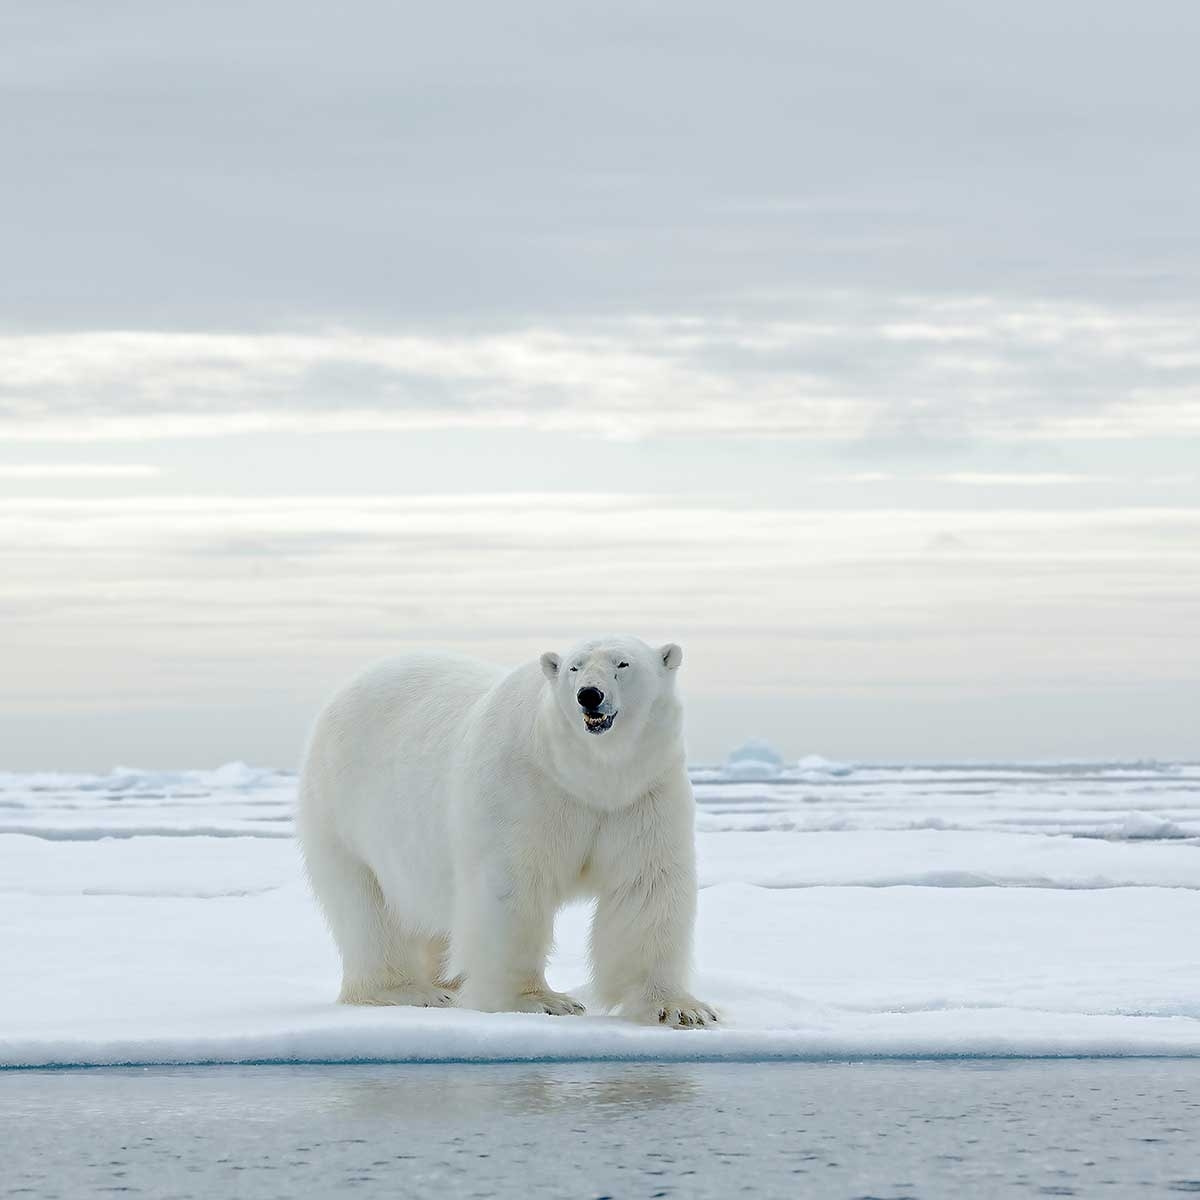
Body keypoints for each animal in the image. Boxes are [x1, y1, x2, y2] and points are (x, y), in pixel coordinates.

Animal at [296, 633, 715, 1027]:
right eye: (574, 668)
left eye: (622, 663)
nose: (589, 696)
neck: (587, 776)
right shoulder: (525, 789)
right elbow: (512, 888)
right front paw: (539, 1001)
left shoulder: (642, 795)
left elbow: (645, 885)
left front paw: (680, 1009)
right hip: (345, 814)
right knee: (366, 908)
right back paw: (411, 991)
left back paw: (447, 983)